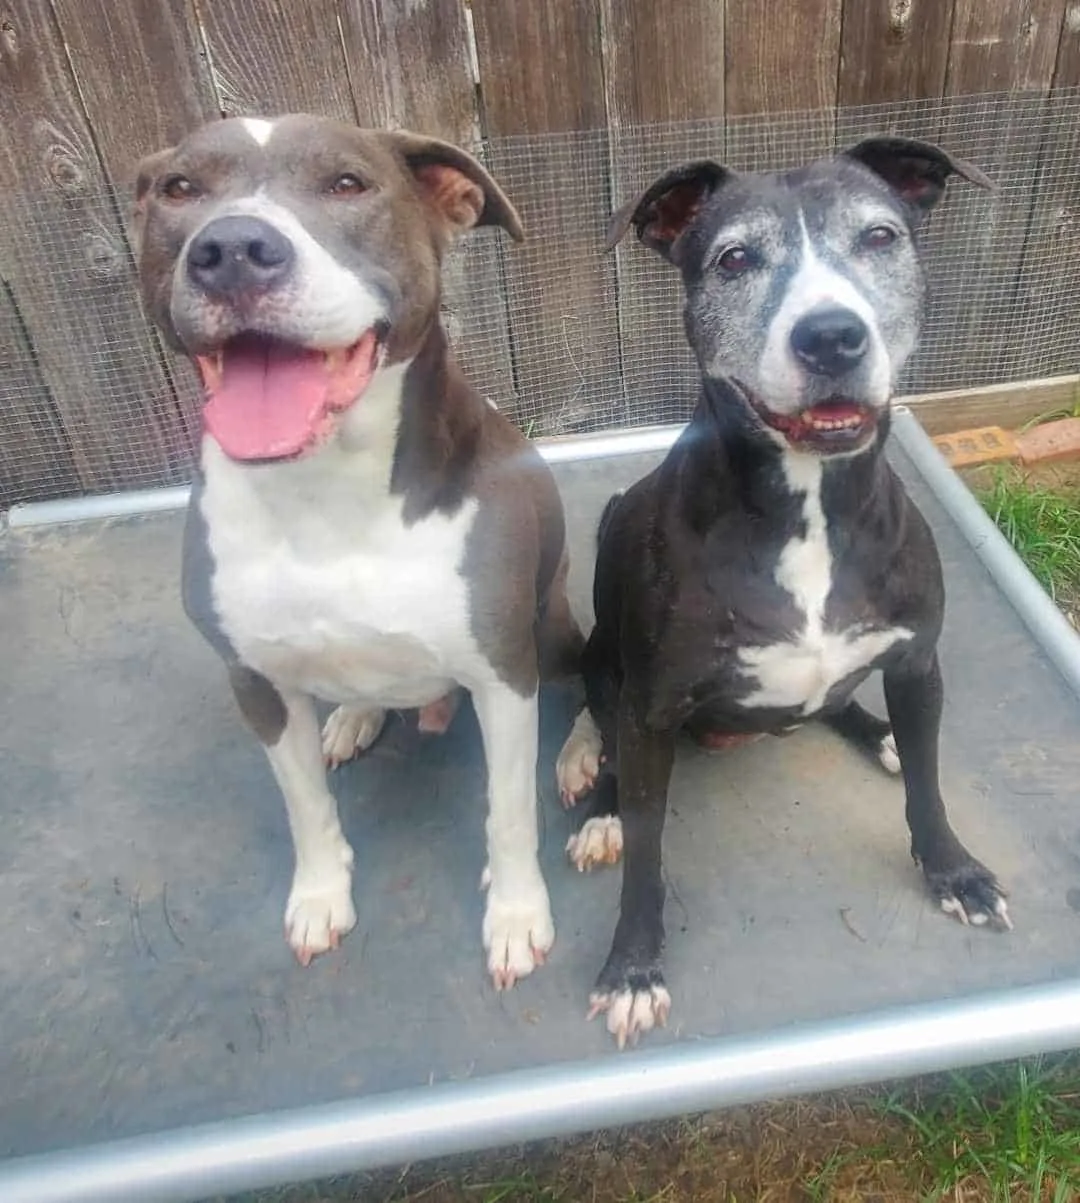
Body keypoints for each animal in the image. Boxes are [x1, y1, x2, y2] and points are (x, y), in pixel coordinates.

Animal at [132, 114, 582, 986]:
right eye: (180, 189)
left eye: (347, 183)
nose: (231, 249)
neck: (325, 491)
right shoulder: (254, 680)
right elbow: (305, 804)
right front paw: (320, 894)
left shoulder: (503, 673)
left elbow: (509, 812)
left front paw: (516, 914)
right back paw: (354, 716)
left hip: (551, 623)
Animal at [555, 136, 1010, 1049]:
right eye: (735, 258)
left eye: (879, 236)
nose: (832, 335)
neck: (810, 504)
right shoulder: (652, 708)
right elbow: (649, 854)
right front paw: (633, 967)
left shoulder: (919, 664)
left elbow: (930, 787)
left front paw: (954, 871)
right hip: (607, 664)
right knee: (610, 734)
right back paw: (603, 809)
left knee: (840, 706)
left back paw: (878, 733)